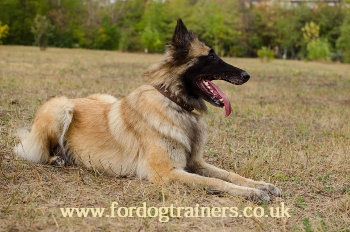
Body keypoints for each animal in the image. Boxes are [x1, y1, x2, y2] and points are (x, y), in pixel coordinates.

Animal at [15, 19, 280, 201]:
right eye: (212, 57)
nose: (246, 75)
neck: (175, 103)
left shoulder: (195, 162)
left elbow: (228, 174)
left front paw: (261, 185)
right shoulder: (167, 173)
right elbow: (217, 182)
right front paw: (252, 193)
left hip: (103, 97)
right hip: (61, 106)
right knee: (37, 152)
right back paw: (58, 158)